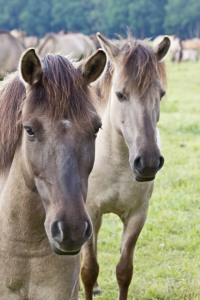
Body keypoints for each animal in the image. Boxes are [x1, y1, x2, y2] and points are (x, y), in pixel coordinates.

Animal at [81, 33, 170, 300]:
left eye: (161, 94)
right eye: (120, 94)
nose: (148, 162)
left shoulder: (137, 215)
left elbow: (124, 271)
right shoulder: (90, 211)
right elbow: (89, 269)